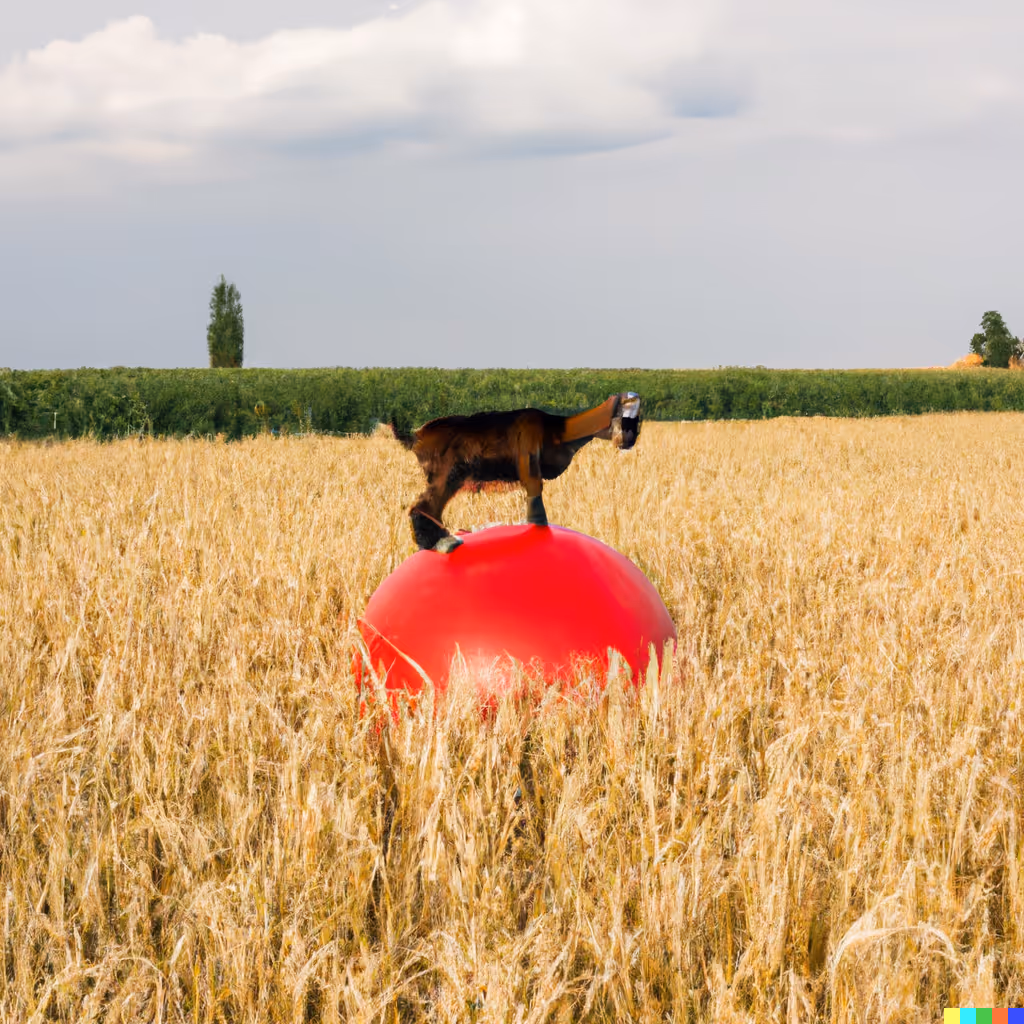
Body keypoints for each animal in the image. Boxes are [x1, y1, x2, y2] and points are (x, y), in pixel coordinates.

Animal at [392, 393, 641, 552]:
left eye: (638, 419)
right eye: (624, 415)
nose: (629, 441)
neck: (558, 431)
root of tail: (416, 436)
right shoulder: (529, 465)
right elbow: (535, 499)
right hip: (447, 476)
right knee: (422, 506)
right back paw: (443, 542)